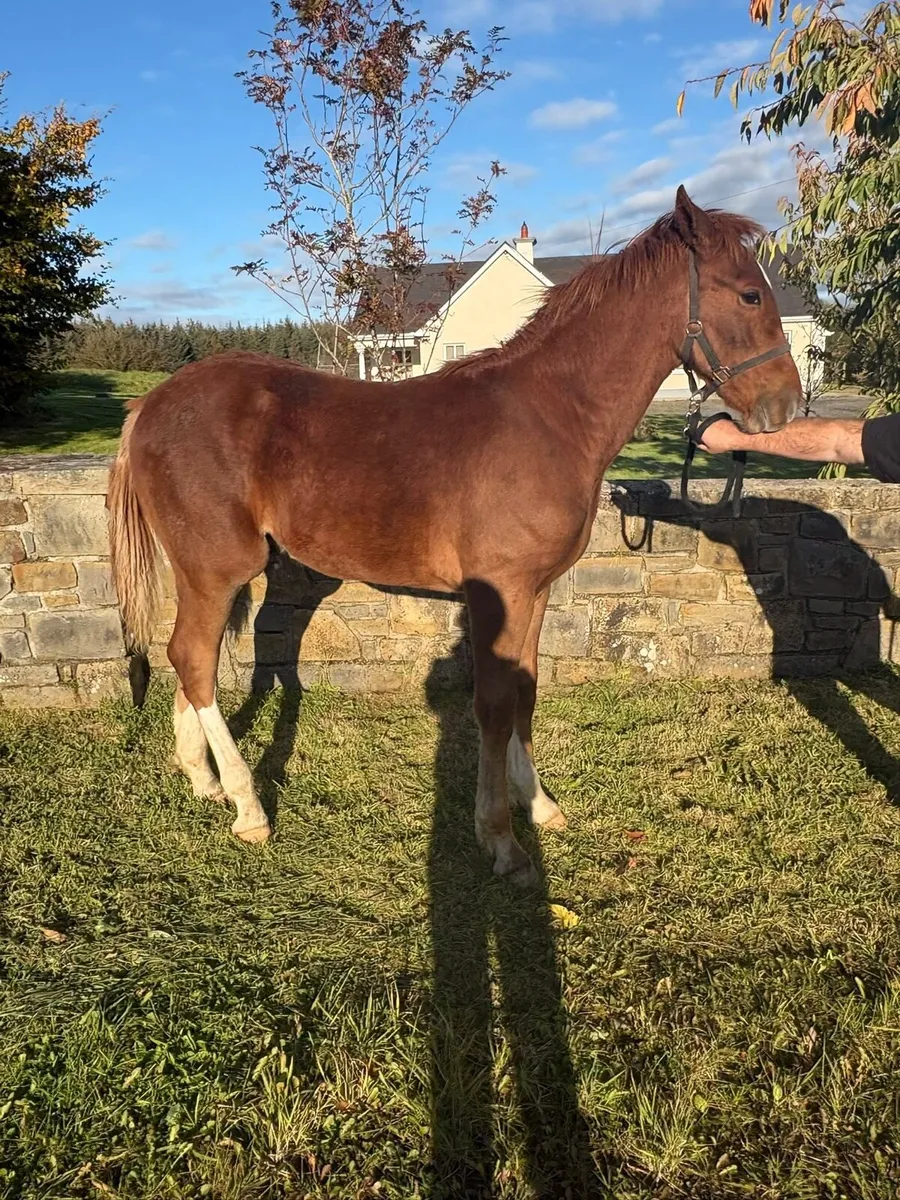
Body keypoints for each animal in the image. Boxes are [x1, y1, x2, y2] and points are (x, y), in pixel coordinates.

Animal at [107, 187, 802, 885]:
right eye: (750, 294)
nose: (787, 407)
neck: (550, 416)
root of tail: (149, 407)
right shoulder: (500, 590)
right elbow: (493, 704)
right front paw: (501, 840)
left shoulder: (535, 592)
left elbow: (525, 692)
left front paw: (539, 806)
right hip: (220, 566)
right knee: (194, 658)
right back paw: (248, 807)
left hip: (208, 572)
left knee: (189, 656)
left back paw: (203, 780)